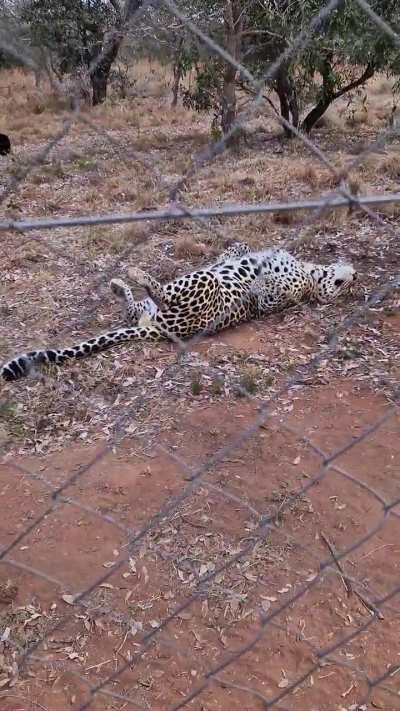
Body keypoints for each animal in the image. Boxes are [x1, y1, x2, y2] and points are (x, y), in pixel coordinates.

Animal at [1, 242, 356, 382]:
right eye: (347, 286)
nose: (355, 276)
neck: (312, 271)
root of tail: (155, 329)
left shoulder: (275, 298)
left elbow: (271, 291)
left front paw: (262, 281)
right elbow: (237, 250)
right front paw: (239, 253)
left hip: (201, 286)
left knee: (162, 291)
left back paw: (134, 273)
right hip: (152, 308)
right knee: (133, 308)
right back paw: (119, 284)